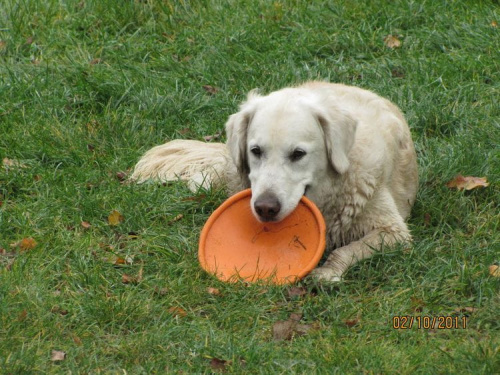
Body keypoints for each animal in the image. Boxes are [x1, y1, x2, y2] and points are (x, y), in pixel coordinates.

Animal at [130, 82, 418, 282]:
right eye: (256, 151)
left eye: (298, 154)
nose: (265, 208)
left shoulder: (394, 232)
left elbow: (347, 249)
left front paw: (328, 272)